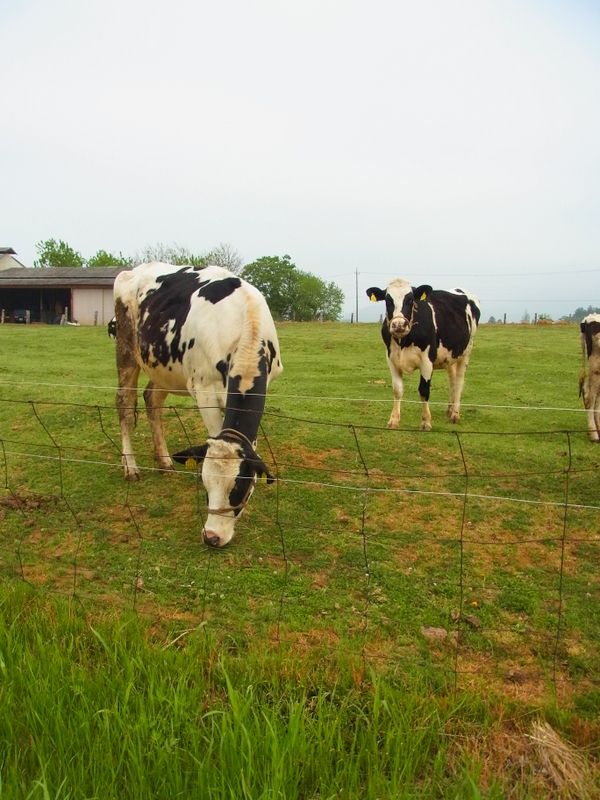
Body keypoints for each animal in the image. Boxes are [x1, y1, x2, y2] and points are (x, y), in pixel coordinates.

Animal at [113, 262, 283, 547]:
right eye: (205, 485)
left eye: (239, 489)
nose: (212, 537)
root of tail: (134, 270)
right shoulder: (204, 390)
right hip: (126, 350)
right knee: (125, 404)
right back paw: (131, 467)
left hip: (164, 368)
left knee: (152, 400)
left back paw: (165, 461)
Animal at [366, 278, 481, 430]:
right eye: (387, 300)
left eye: (410, 300)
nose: (399, 325)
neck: (403, 341)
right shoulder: (391, 359)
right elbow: (397, 389)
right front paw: (394, 420)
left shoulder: (427, 360)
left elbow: (424, 391)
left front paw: (426, 422)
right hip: (450, 355)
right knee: (451, 379)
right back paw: (449, 410)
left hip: (467, 350)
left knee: (459, 381)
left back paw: (455, 415)